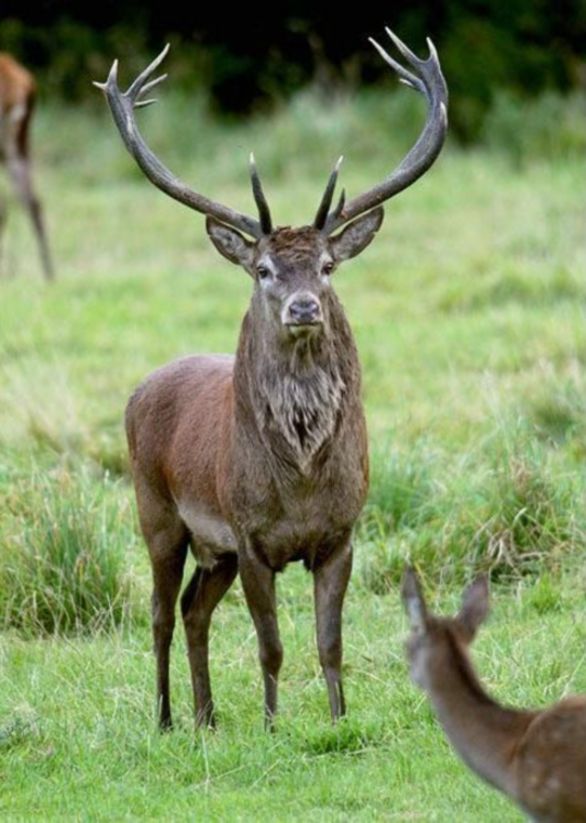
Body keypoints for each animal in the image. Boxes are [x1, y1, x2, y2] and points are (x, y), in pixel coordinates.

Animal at [94, 29, 442, 732]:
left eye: (329, 265)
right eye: (262, 270)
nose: (303, 307)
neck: (301, 481)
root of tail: (140, 388)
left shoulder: (341, 534)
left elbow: (329, 642)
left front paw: (337, 720)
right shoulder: (250, 536)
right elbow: (271, 644)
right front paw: (273, 725)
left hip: (215, 550)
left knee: (193, 607)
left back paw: (207, 718)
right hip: (156, 513)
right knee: (158, 612)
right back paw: (167, 718)